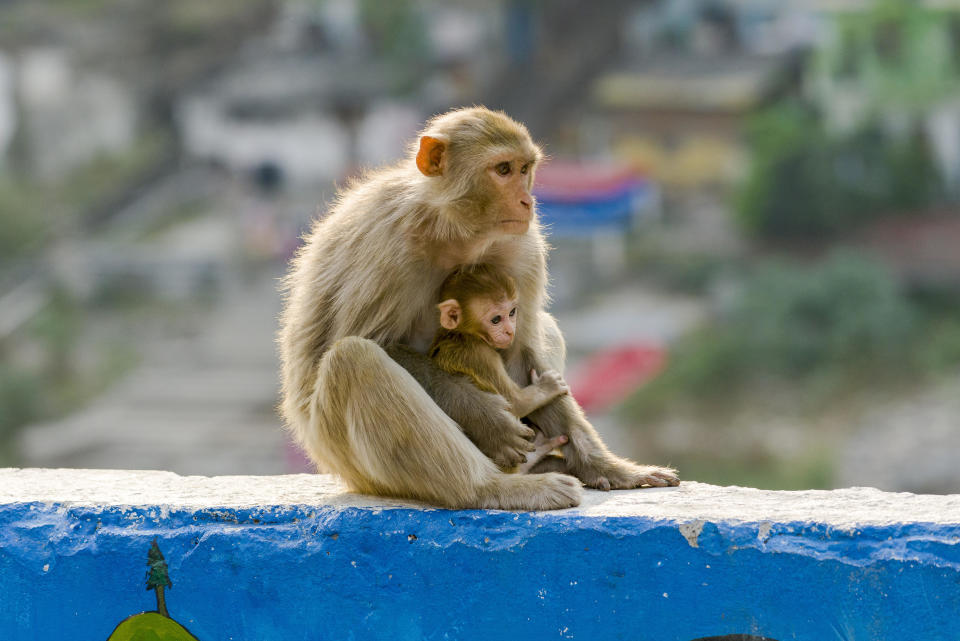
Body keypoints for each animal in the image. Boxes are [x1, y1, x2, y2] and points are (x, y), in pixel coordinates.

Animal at [430, 262, 568, 472]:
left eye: (511, 313)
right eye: (496, 319)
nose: (510, 331)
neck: (462, 334)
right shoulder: (481, 355)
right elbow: (516, 403)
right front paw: (547, 386)